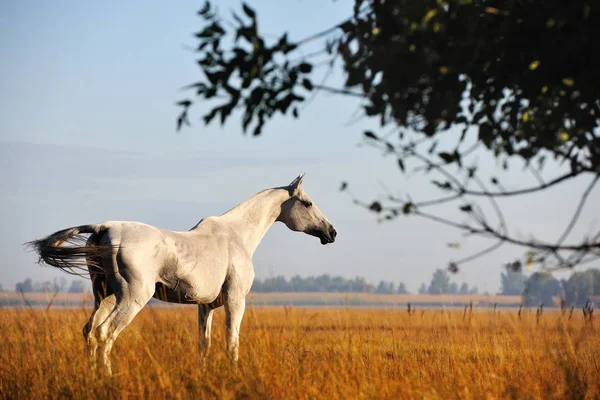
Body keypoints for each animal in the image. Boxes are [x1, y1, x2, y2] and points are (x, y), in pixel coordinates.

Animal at [27, 173, 332, 374]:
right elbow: (231, 343)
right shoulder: (235, 301)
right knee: (105, 333)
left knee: (90, 332)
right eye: (307, 203)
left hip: (104, 296)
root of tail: (104, 227)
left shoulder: (205, 306)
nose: (332, 232)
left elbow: (204, 344)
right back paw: (107, 378)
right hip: (131, 299)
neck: (236, 236)